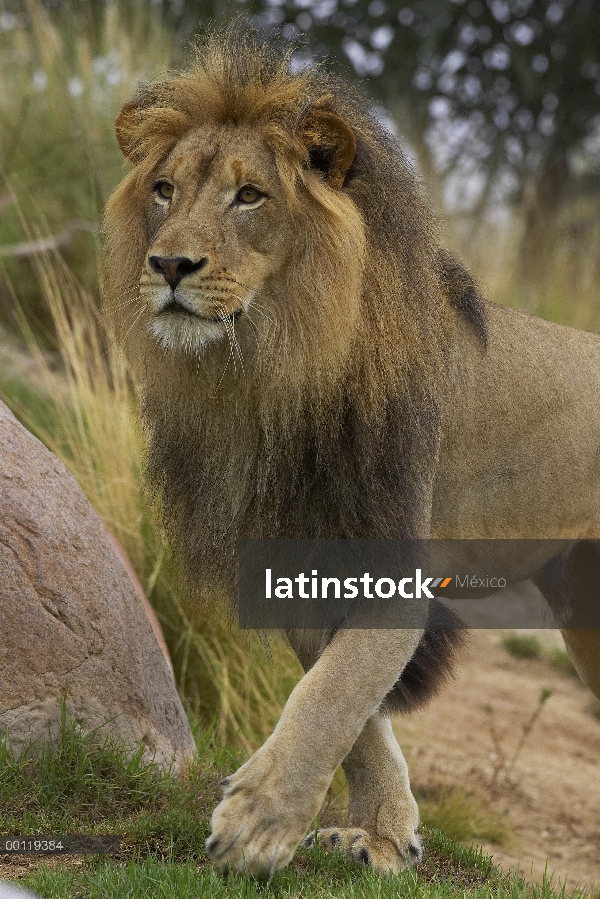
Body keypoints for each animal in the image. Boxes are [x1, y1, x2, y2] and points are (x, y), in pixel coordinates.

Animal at [103, 22, 600, 880]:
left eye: (249, 195)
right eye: (164, 189)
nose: (168, 264)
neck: (269, 372)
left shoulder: (393, 554)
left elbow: (333, 691)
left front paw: (256, 821)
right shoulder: (294, 547)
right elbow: (352, 704)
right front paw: (381, 834)